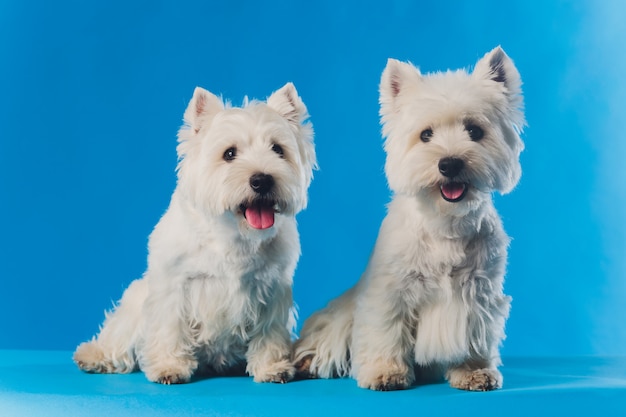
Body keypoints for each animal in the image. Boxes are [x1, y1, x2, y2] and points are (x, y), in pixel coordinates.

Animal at [74, 82, 316, 384]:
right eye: (229, 153)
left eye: (278, 149)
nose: (262, 180)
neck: (234, 234)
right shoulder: (175, 285)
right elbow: (170, 327)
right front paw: (169, 367)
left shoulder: (273, 289)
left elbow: (269, 332)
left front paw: (272, 368)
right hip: (134, 302)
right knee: (118, 338)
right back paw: (92, 356)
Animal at [292, 47, 520, 392]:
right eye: (425, 134)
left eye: (474, 131)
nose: (449, 163)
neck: (444, 223)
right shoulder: (391, 291)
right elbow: (386, 331)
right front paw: (385, 372)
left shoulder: (479, 293)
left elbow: (475, 335)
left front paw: (474, 371)